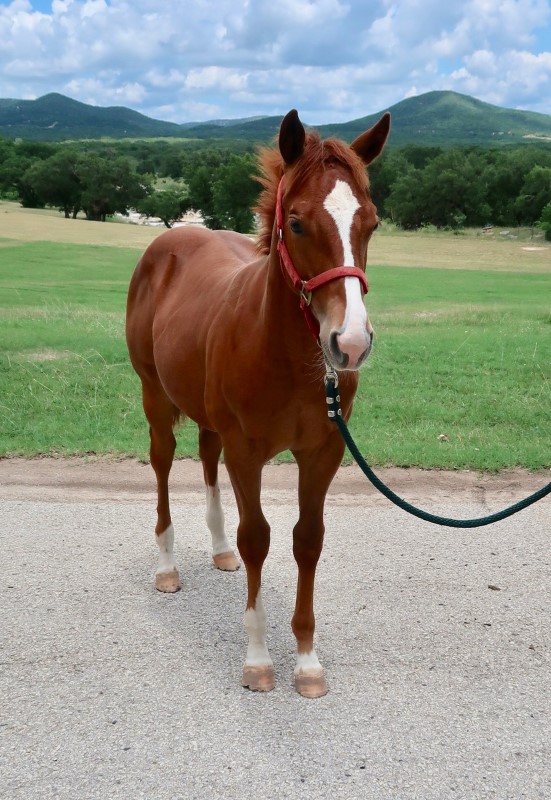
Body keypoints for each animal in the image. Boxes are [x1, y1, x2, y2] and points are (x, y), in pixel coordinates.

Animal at [126, 109, 390, 696]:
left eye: (371, 223)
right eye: (296, 222)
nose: (350, 343)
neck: (287, 357)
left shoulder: (323, 453)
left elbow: (307, 540)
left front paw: (308, 661)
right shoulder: (246, 452)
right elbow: (258, 540)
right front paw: (258, 659)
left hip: (207, 417)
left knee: (206, 459)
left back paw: (217, 548)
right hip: (154, 396)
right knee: (161, 464)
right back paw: (167, 565)